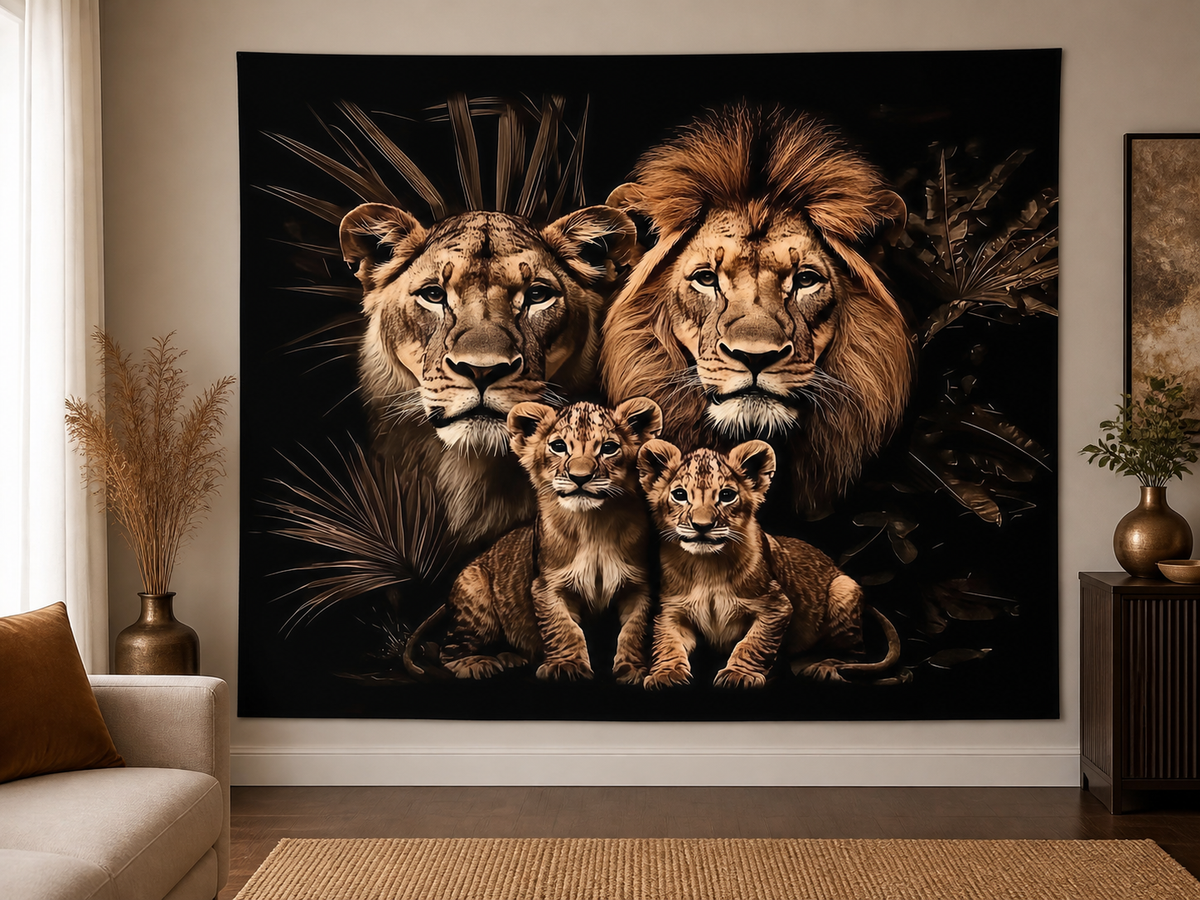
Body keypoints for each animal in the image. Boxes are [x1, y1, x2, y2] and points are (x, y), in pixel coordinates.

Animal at [439, 397, 663, 683]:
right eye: (558, 446)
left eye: (609, 448)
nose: (580, 477)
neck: (593, 526)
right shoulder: (547, 585)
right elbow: (563, 628)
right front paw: (566, 666)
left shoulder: (638, 586)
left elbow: (634, 630)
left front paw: (632, 669)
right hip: (476, 598)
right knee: (449, 647)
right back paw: (477, 663)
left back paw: (511, 658)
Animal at [637, 438, 899, 689]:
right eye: (680, 495)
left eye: (726, 495)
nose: (702, 526)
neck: (706, 566)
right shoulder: (671, 609)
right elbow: (667, 642)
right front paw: (666, 673)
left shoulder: (776, 606)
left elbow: (753, 643)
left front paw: (739, 675)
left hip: (844, 588)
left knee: (855, 653)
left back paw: (823, 668)